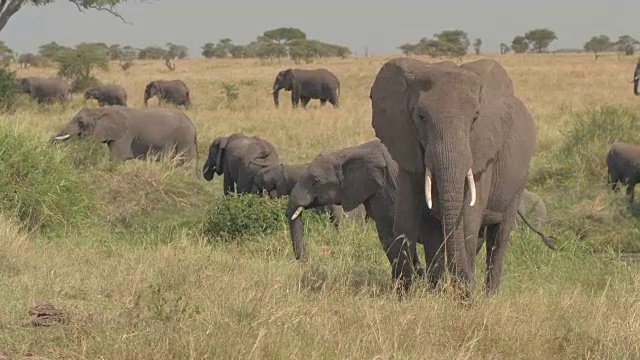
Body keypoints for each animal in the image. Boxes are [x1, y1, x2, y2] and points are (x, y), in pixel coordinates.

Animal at [49, 105, 198, 165]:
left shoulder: (125, 135)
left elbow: (117, 158)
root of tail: (193, 127)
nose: (50, 141)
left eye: (80, 121)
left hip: (184, 138)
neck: (102, 110)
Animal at [370, 57, 556, 300]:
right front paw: (412, 298)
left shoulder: (483, 153)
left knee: (498, 239)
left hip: (518, 182)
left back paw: (490, 297)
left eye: (475, 117)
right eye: (421, 117)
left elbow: (468, 219)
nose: (465, 293)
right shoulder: (407, 146)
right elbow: (406, 220)